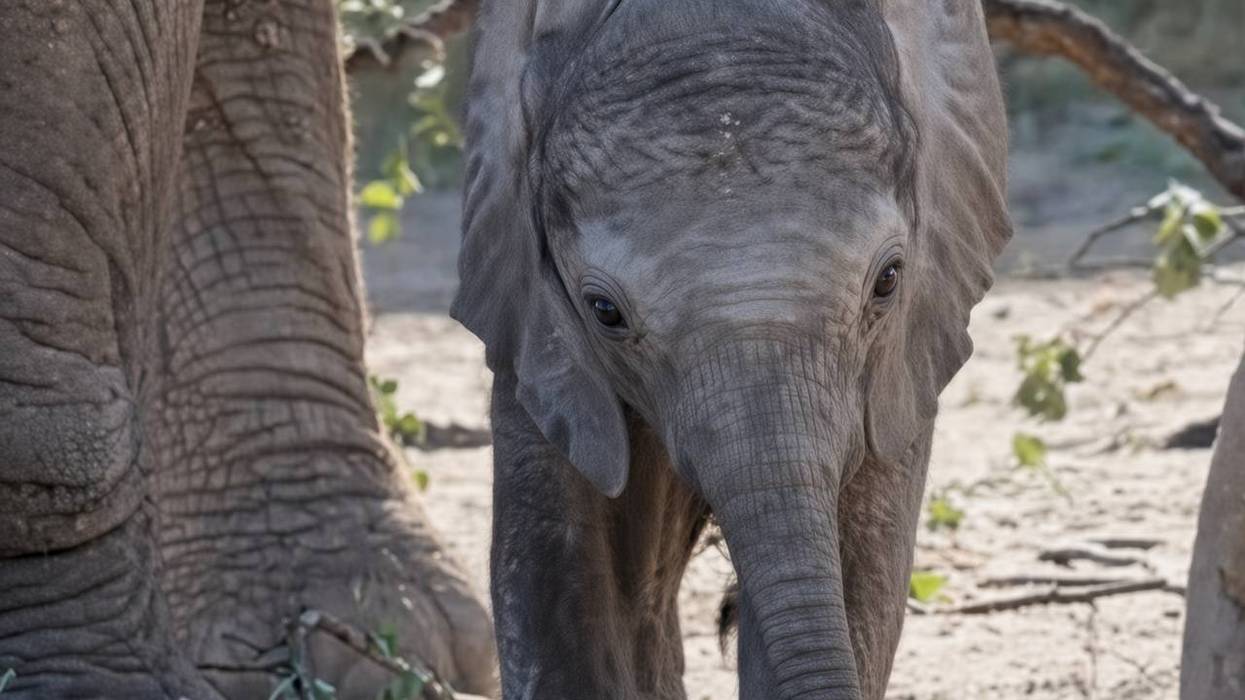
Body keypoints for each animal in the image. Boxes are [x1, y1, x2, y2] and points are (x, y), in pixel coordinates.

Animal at [453, 0, 1010, 698]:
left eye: (888, 279)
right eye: (604, 312)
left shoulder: (905, 353)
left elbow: (858, 574)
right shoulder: (531, 325)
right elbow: (553, 583)